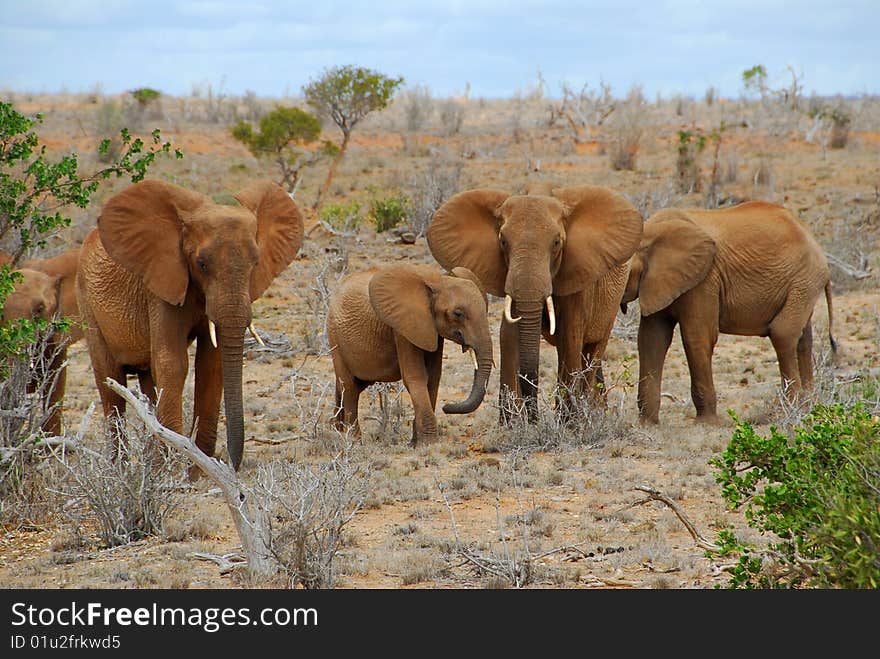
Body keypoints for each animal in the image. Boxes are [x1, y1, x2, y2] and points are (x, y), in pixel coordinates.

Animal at [76, 178, 302, 472]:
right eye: (201, 264)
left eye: (255, 263)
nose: (231, 463)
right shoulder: (162, 285)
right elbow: (173, 363)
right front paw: (175, 470)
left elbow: (211, 363)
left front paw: (199, 470)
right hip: (87, 303)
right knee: (110, 386)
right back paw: (121, 471)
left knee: (148, 381)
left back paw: (151, 463)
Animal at [430, 184, 644, 422]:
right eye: (503, 241)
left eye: (557, 243)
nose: (533, 416)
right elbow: (509, 334)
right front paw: (512, 424)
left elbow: (570, 335)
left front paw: (569, 422)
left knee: (593, 348)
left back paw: (591, 413)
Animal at [620, 201, 840, 426]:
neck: (651, 232)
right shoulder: (658, 282)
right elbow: (652, 339)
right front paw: (647, 425)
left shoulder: (705, 279)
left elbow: (697, 337)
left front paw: (706, 423)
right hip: (804, 284)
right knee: (804, 339)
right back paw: (809, 407)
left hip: (804, 280)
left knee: (783, 333)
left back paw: (787, 412)